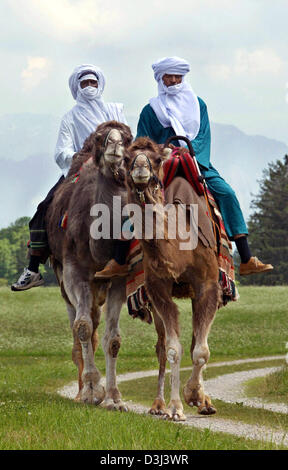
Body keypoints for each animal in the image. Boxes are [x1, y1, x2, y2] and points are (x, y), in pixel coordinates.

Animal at [45, 121, 133, 412]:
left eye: (128, 139)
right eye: (100, 138)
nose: (114, 144)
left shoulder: (119, 278)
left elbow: (113, 338)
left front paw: (114, 398)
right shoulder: (75, 271)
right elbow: (82, 327)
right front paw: (92, 391)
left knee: (94, 322)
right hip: (63, 278)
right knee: (78, 323)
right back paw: (80, 390)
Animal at [125, 138, 222, 420]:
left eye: (157, 159)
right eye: (126, 158)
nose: (141, 168)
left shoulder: (208, 286)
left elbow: (200, 350)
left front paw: (195, 395)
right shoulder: (157, 289)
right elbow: (171, 349)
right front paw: (176, 407)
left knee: (195, 342)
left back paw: (205, 401)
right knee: (160, 346)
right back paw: (158, 405)